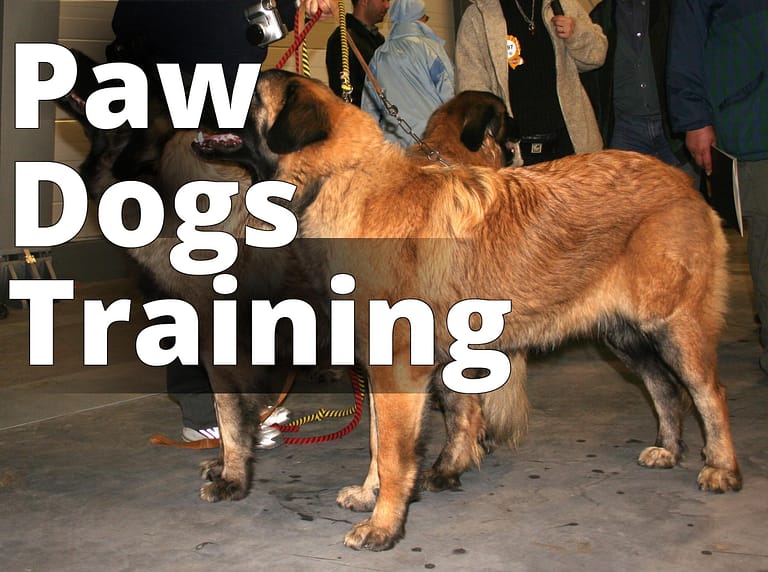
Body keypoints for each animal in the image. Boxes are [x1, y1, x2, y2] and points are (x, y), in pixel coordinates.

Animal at [194, 69, 744, 548]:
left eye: (244, 92)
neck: (340, 179)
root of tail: (683, 182)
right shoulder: (382, 366)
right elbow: (376, 441)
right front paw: (371, 496)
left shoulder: (399, 370)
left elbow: (393, 452)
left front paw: (384, 526)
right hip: (626, 332)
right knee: (664, 387)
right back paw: (668, 449)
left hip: (674, 326)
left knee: (708, 392)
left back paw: (721, 467)